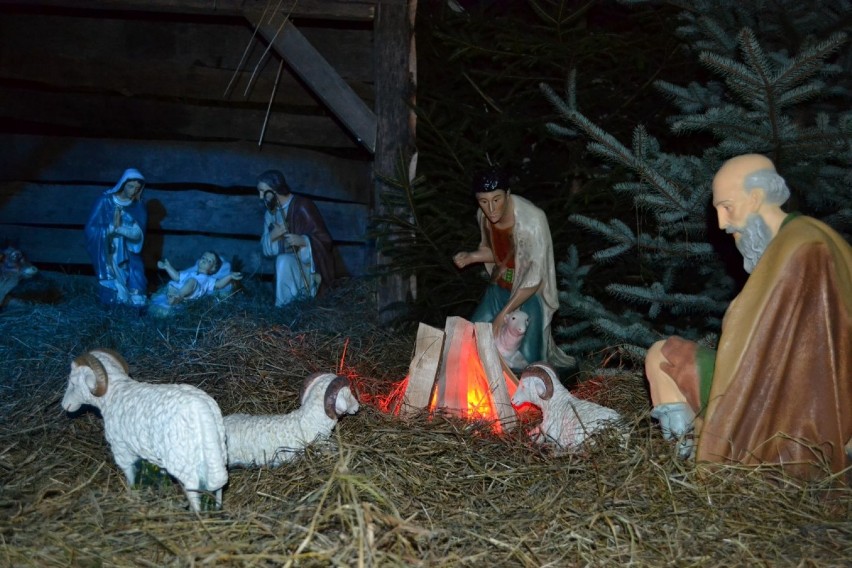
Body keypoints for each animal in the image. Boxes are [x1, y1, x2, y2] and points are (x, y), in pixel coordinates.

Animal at [60, 348, 228, 512]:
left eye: (72, 382)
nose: (64, 405)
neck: (113, 394)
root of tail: (202, 409)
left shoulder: (121, 448)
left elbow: (129, 474)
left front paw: (131, 493)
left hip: (183, 461)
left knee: (193, 488)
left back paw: (196, 514)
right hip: (216, 453)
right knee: (218, 484)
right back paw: (217, 509)